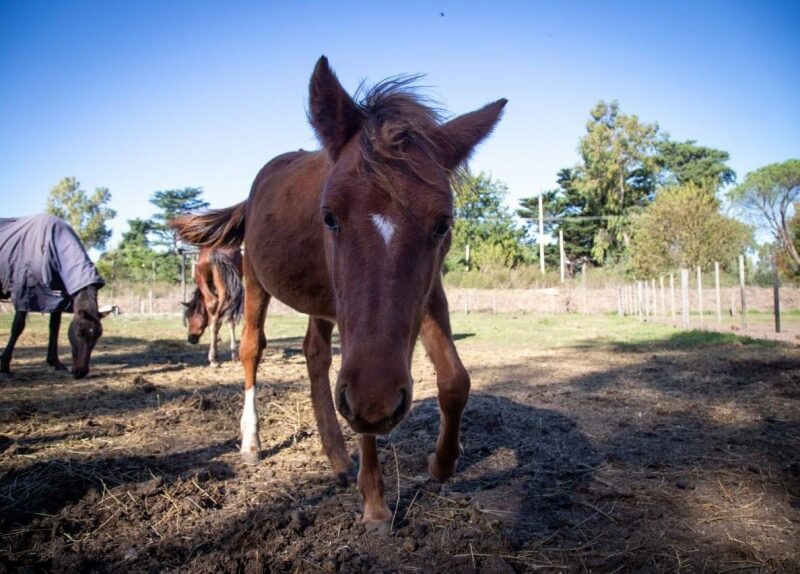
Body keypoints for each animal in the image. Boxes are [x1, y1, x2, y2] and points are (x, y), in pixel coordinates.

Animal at [0, 213, 112, 379]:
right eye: (79, 333)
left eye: (98, 335)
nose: (81, 372)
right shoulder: (24, 292)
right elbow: (18, 326)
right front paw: (5, 365)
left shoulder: (59, 298)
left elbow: (55, 327)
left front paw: (55, 362)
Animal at [170, 56, 506, 525]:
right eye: (328, 216)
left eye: (443, 224)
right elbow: (363, 408)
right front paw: (375, 501)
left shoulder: (427, 295)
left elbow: (455, 380)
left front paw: (442, 463)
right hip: (256, 280)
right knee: (253, 348)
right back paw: (252, 441)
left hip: (320, 299)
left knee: (315, 354)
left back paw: (337, 456)